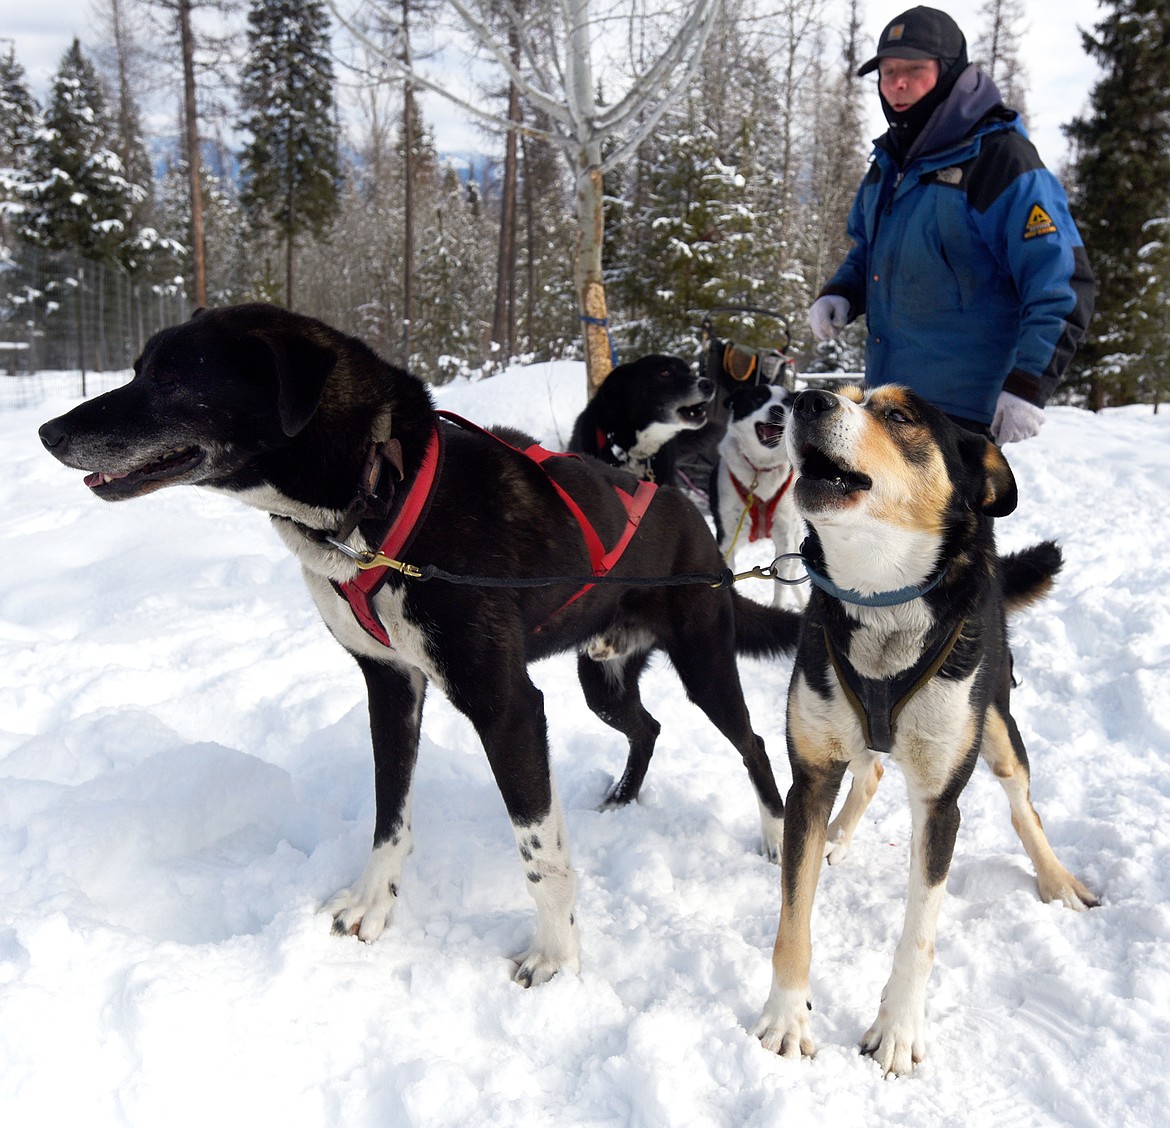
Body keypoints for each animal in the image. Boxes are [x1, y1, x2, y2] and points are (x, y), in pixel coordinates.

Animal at [711, 383, 804, 603]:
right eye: (757, 399)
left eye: (787, 402)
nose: (777, 409)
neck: (761, 469)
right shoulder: (727, 538)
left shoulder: (784, 538)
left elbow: (781, 585)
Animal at [753, 386, 1090, 1076]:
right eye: (846, 397)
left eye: (899, 415)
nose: (805, 398)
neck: (882, 602)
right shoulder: (810, 778)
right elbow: (793, 917)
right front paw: (786, 1017)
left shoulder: (940, 804)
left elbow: (920, 935)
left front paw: (897, 1032)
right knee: (873, 768)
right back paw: (839, 835)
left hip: (997, 727)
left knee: (1023, 806)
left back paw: (1056, 879)